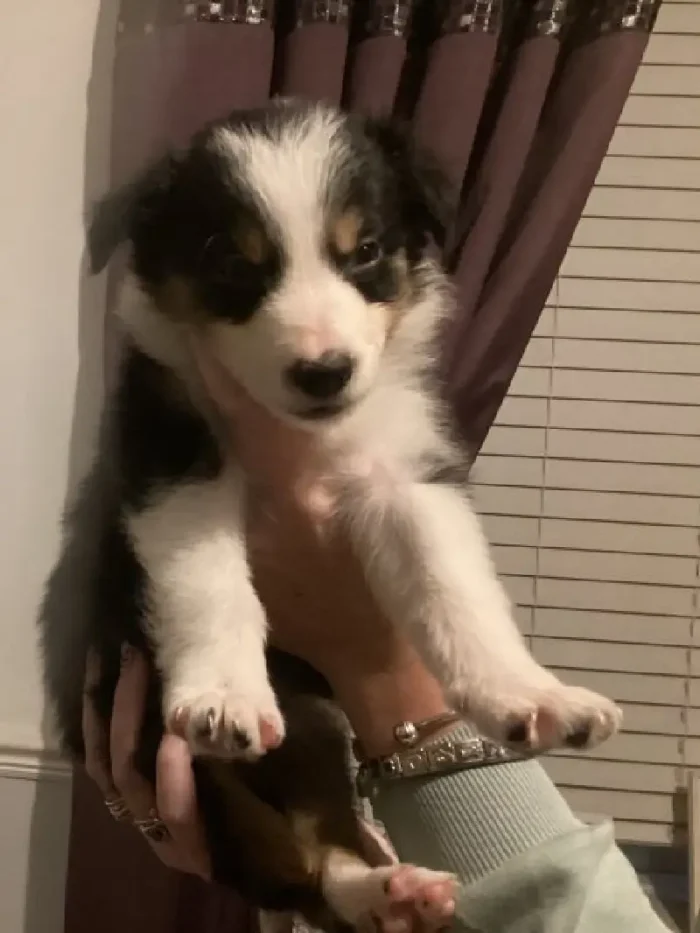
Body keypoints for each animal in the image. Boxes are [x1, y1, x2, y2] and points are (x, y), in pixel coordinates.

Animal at [38, 98, 620, 928]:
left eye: (365, 250)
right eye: (232, 262)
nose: (325, 372)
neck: (307, 436)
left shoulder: (409, 472)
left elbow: (455, 590)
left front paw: (530, 694)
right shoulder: (171, 452)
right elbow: (206, 579)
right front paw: (223, 694)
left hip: (313, 726)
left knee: (328, 840)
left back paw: (392, 888)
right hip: (178, 749)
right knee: (300, 864)